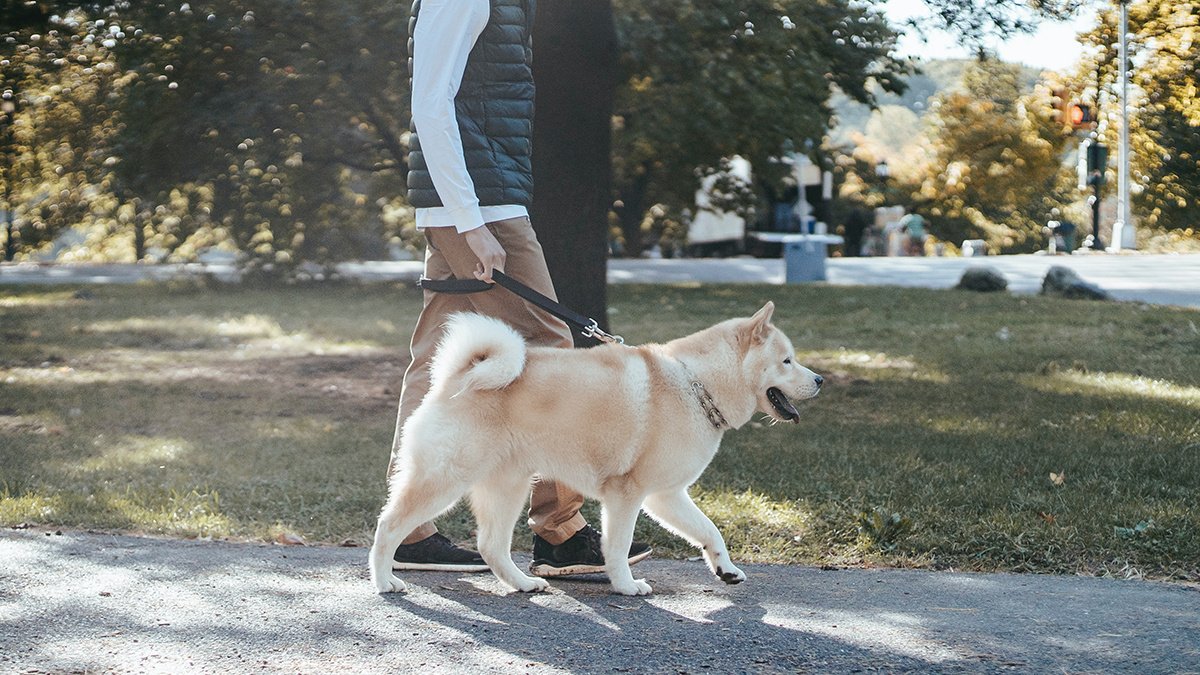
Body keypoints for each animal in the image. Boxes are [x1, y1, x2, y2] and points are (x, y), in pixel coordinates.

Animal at [369, 300, 825, 593]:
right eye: (787, 361)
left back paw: (522, 583)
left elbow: (709, 529)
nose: (820, 380)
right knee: (388, 527)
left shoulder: (665, 496)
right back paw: (385, 580)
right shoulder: (627, 494)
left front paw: (725, 569)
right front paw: (625, 586)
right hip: (445, 480)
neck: (697, 384)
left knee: (491, 547)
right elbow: (618, 547)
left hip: (508, 487)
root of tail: (459, 375)